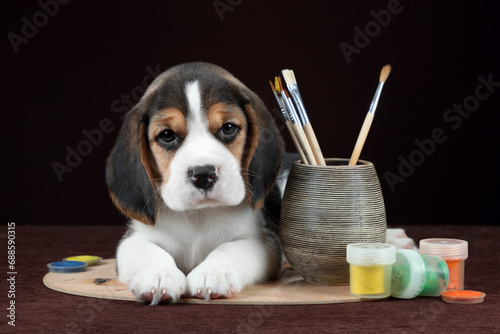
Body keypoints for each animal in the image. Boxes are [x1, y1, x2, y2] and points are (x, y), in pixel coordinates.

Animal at [105, 61, 286, 304]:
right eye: (167, 135)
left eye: (228, 128)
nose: (203, 174)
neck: (198, 216)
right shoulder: (134, 238)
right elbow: (149, 252)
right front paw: (159, 275)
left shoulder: (264, 242)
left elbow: (229, 248)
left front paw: (213, 273)